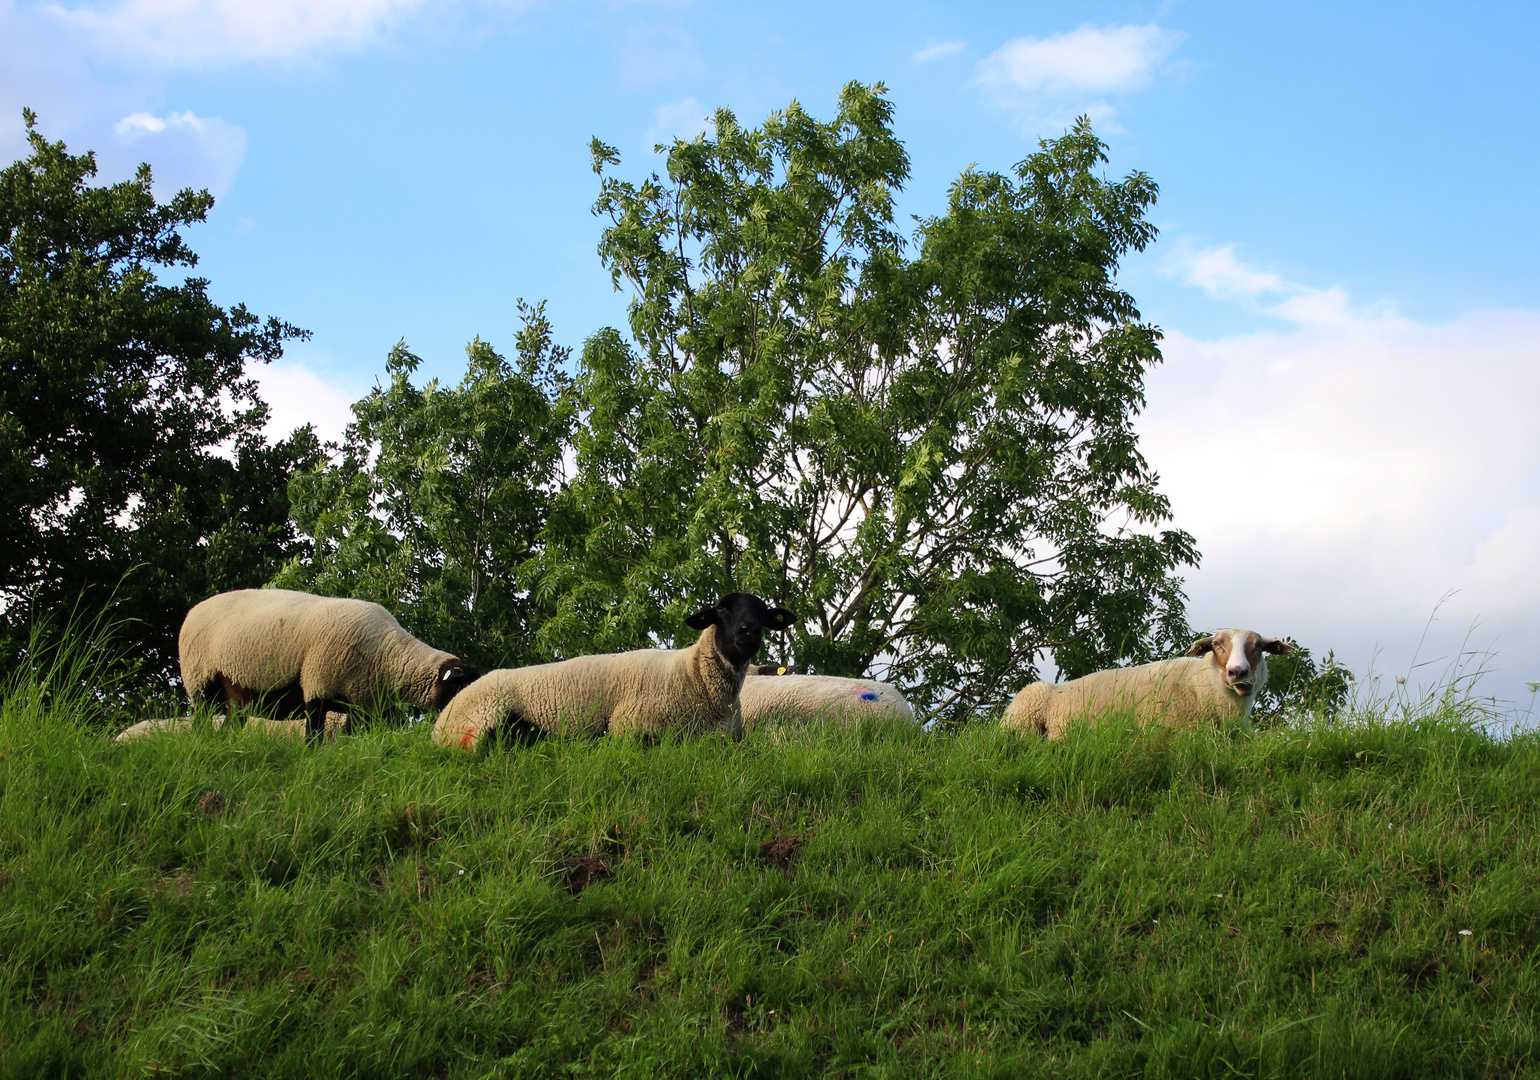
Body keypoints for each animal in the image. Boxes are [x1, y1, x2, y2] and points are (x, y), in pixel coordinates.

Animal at [176, 585, 474, 736]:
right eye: (459, 686)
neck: (388, 655)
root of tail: (194, 609)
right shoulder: (317, 685)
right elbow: (314, 736)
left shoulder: (360, 703)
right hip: (200, 681)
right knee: (201, 718)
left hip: (234, 697)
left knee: (230, 724)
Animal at [431, 588, 794, 748]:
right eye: (721, 611)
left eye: (762, 613)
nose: (749, 630)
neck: (695, 678)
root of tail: (439, 722)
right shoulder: (629, 724)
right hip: (481, 721)